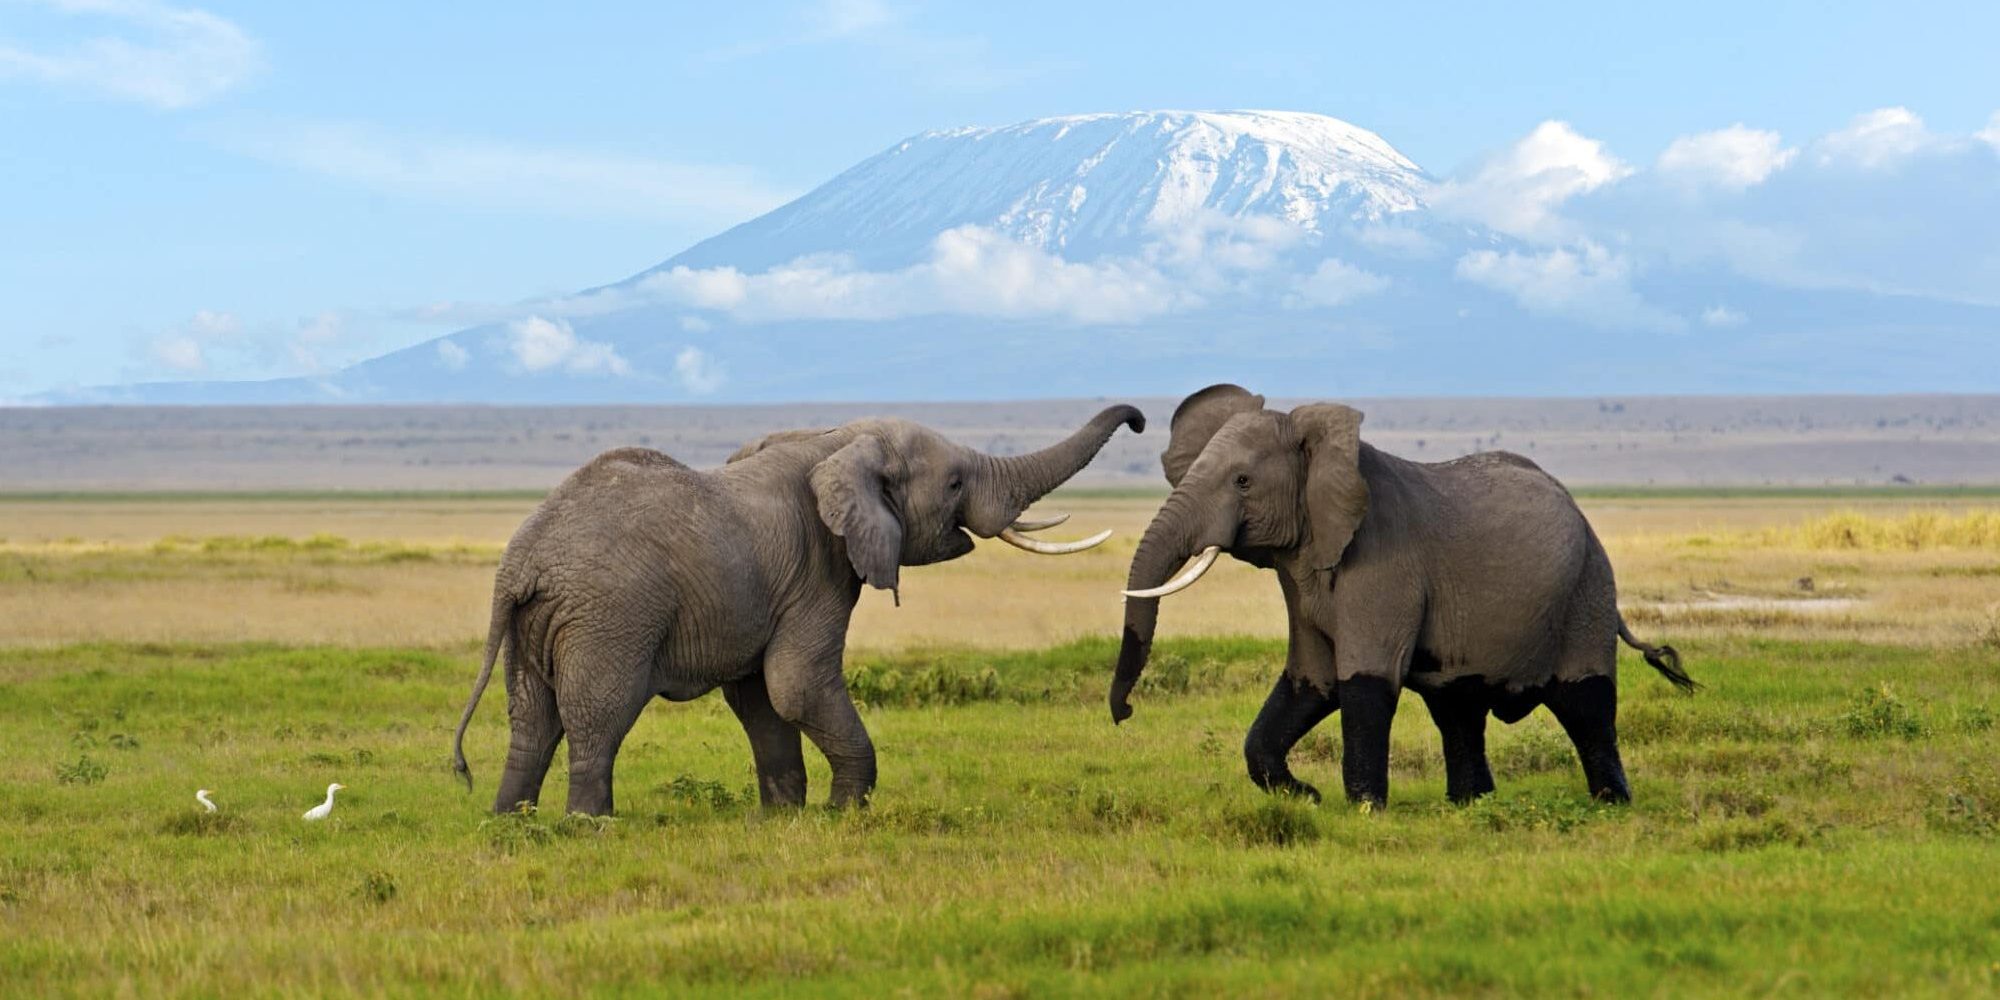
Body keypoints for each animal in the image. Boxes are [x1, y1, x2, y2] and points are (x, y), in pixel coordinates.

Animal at [451, 404, 1146, 815]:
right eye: (953, 484)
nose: (1139, 420)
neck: (836, 439)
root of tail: (520, 563)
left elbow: (759, 697)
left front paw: (785, 818)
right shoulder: (818, 568)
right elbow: (797, 685)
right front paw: (846, 812)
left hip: (534, 623)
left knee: (532, 718)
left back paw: (512, 822)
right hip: (609, 618)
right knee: (599, 715)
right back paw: (590, 825)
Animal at [1108, 385, 1693, 808]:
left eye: (1243, 482)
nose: (1126, 712)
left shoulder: (1383, 564)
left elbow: (1364, 682)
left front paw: (1363, 810)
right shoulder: (1300, 571)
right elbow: (1311, 681)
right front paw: (1307, 798)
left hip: (1588, 588)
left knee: (1587, 704)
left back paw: (1611, 803)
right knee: (1458, 708)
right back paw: (1470, 806)